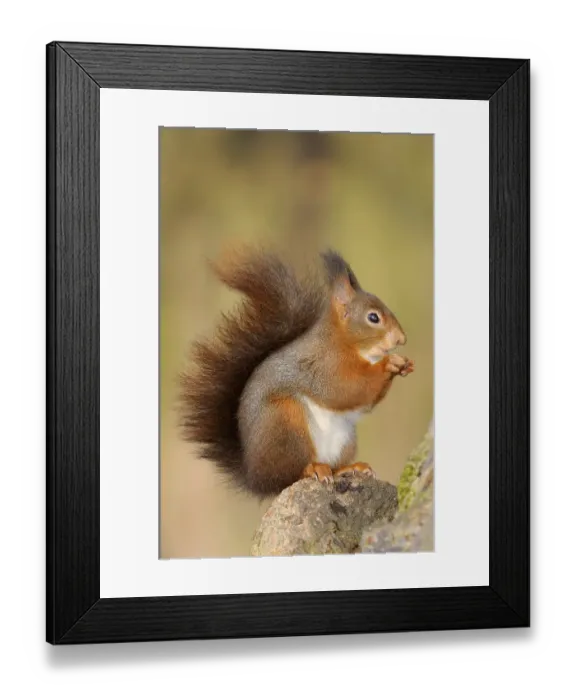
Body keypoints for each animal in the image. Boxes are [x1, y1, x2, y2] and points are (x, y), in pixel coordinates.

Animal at [179, 246, 414, 498]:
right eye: (373, 317)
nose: (401, 339)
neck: (345, 343)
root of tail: (256, 477)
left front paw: (404, 364)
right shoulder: (323, 366)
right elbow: (345, 389)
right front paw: (388, 364)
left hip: (345, 438)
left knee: (327, 467)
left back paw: (348, 468)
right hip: (286, 420)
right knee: (288, 475)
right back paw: (313, 469)